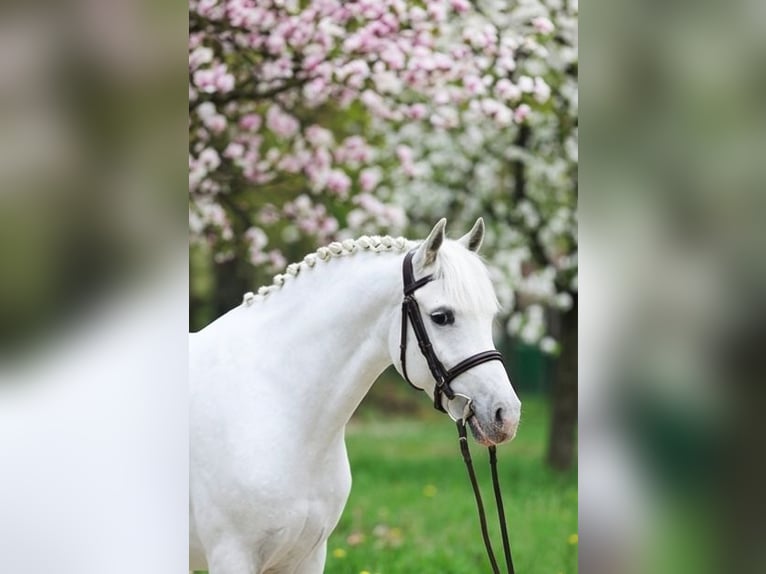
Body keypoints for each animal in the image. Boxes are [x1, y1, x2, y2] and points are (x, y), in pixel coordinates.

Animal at [190, 218, 522, 573]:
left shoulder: (308, 555)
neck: (277, 402)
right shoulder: (233, 556)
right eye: (442, 317)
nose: (506, 415)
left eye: (490, 316)